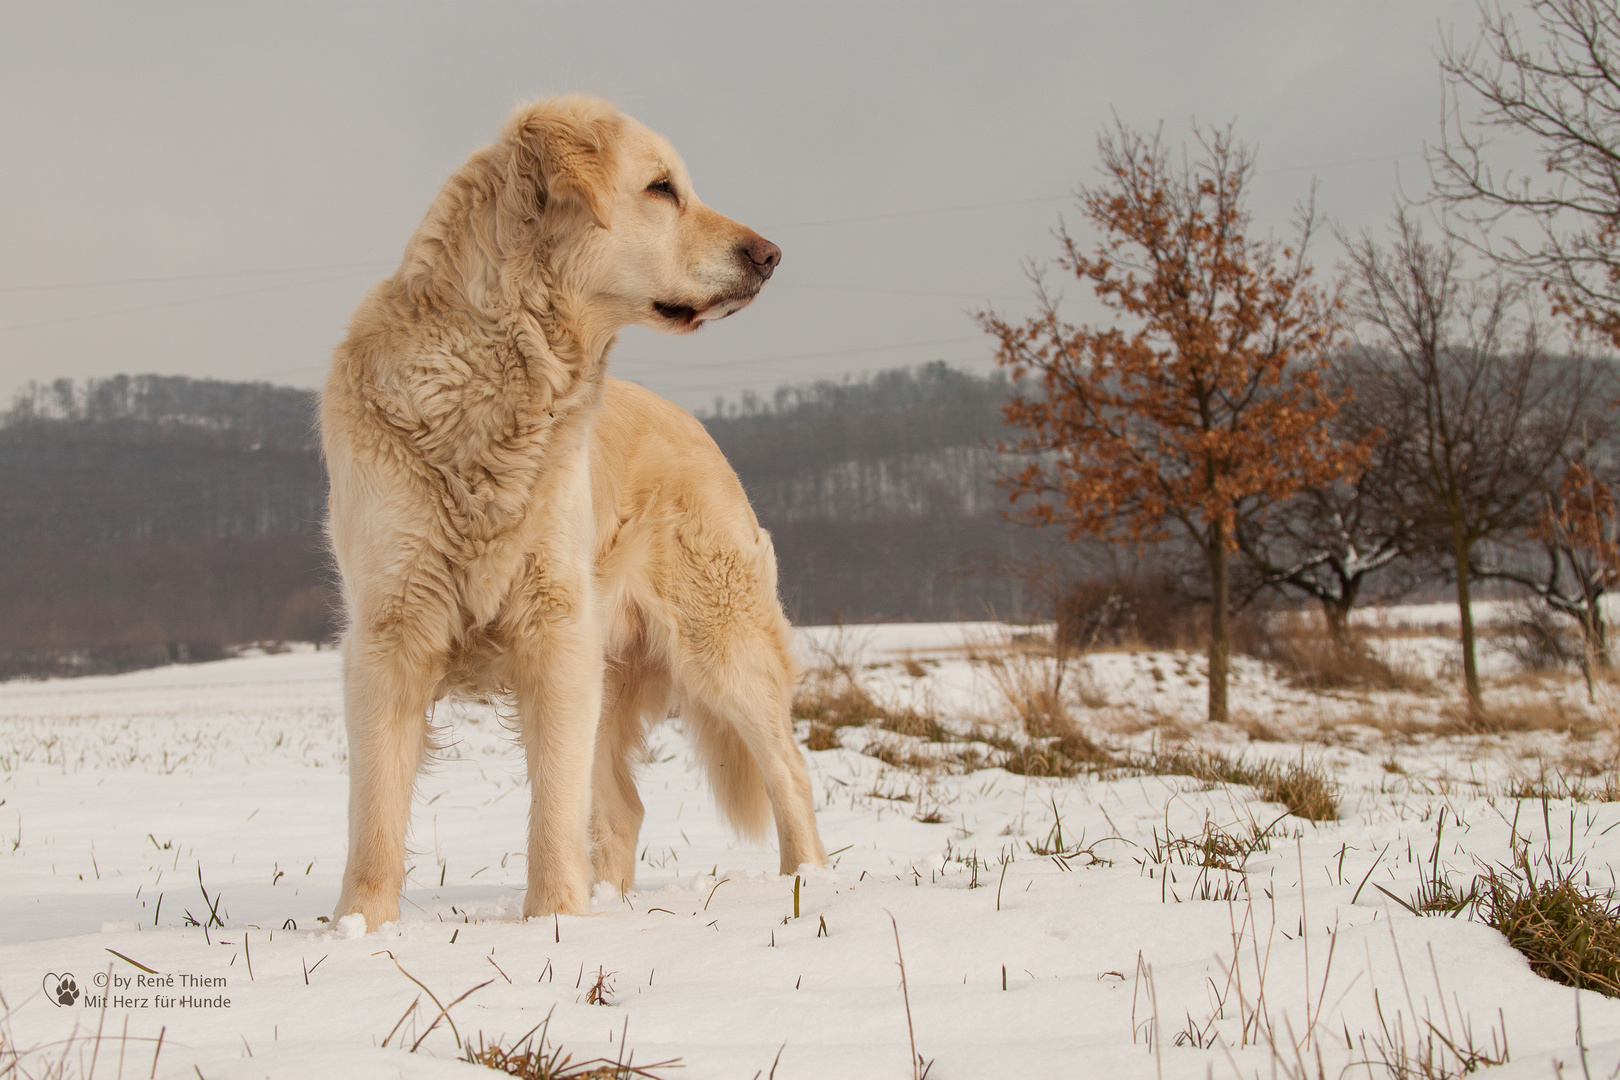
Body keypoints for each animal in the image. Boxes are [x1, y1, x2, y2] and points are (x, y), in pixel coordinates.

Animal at [327, 97, 829, 932]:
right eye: (662, 189)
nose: (771, 255)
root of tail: (697, 427)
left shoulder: (555, 634)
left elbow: (553, 813)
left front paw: (554, 922)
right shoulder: (389, 634)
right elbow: (375, 818)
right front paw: (360, 932)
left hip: (721, 645)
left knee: (788, 771)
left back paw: (807, 887)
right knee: (625, 809)